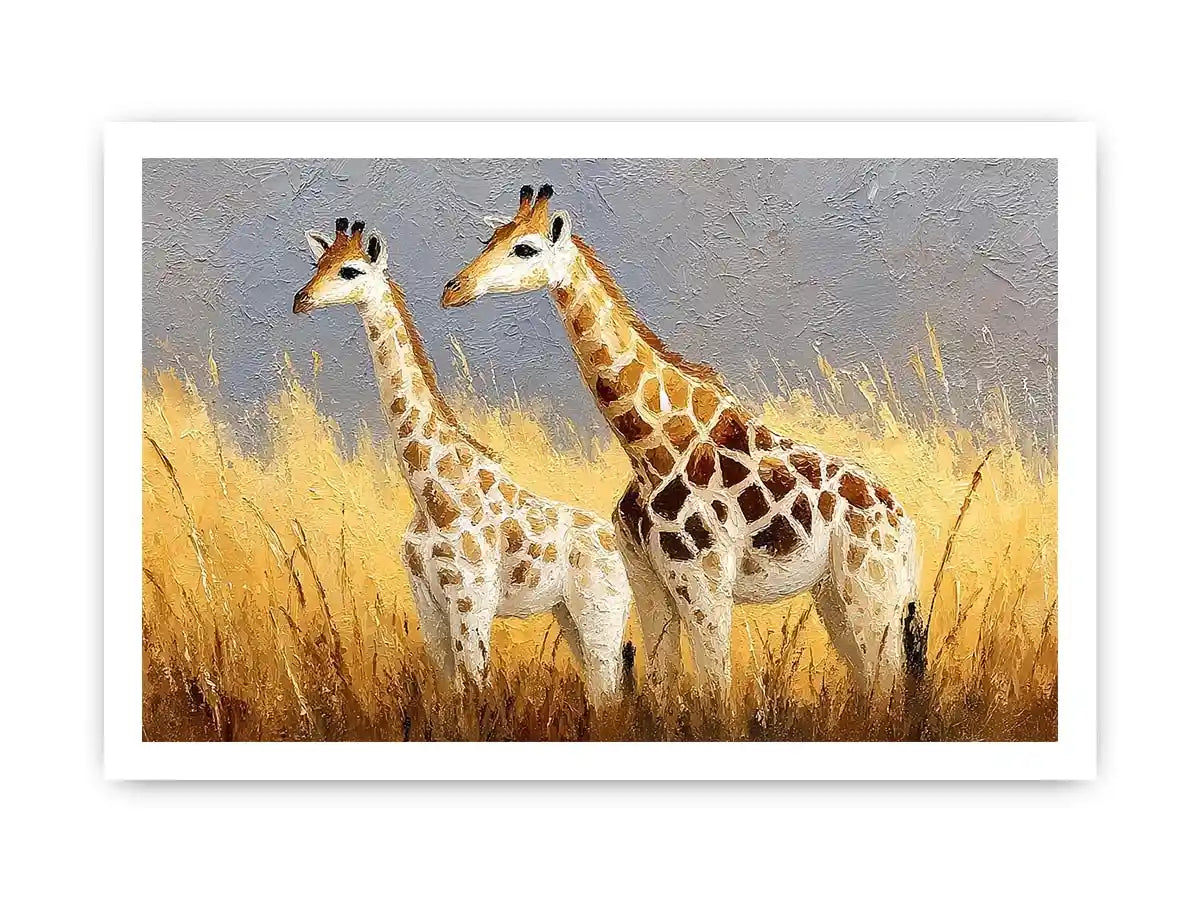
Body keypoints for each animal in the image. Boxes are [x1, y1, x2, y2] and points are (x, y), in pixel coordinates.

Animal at [292, 218, 632, 704]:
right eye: (318, 264)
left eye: (349, 270)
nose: (300, 299)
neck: (431, 495)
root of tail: (618, 545)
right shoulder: (427, 601)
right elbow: (448, 692)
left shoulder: (471, 600)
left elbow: (475, 689)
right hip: (567, 613)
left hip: (601, 610)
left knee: (608, 692)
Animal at [442, 186, 927, 699]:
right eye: (490, 238)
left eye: (525, 248)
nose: (453, 289)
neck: (649, 448)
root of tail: (905, 523)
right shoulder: (648, 582)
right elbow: (661, 686)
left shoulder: (703, 583)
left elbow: (715, 691)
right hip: (834, 593)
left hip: (872, 589)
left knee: (887, 681)